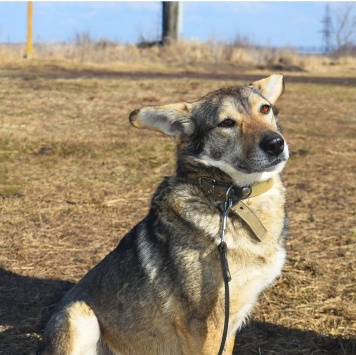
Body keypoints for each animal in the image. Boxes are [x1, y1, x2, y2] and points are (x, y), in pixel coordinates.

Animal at [43, 73, 290, 354]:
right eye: (226, 123)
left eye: (265, 109)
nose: (275, 143)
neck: (229, 198)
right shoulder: (206, 325)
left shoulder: (230, 322)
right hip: (79, 315)